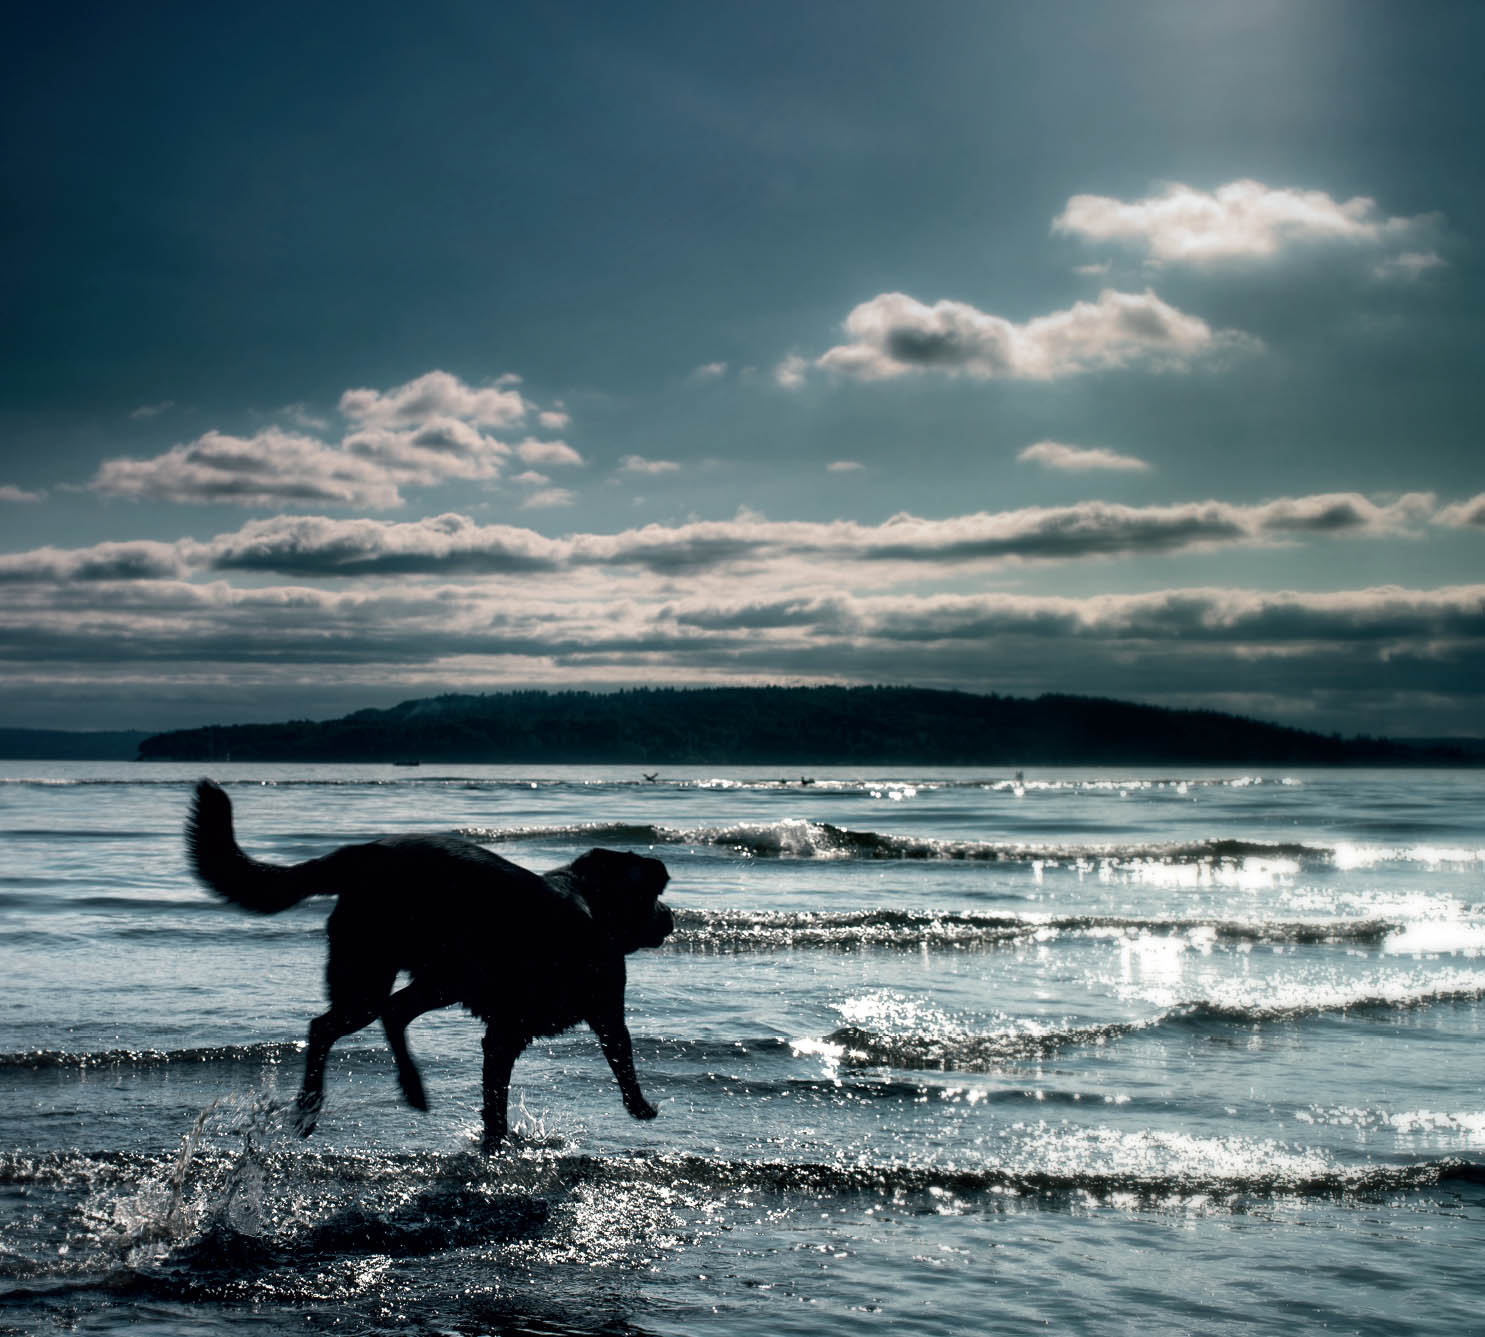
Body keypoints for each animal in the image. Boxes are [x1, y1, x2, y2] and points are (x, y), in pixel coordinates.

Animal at [184, 784, 674, 1146]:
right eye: (654, 895)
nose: (670, 917)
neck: (595, 907)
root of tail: (362, 853)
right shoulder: (596, 1011)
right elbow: (623, 1058)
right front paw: (640, 1107)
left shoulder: (507, 1032)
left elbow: (495, 1098)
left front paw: (494, 1141)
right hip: (375, 975)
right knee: (329, 1026)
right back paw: (313, 1105)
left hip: (438, 978)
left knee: (388, 1014)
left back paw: (408, 1089)